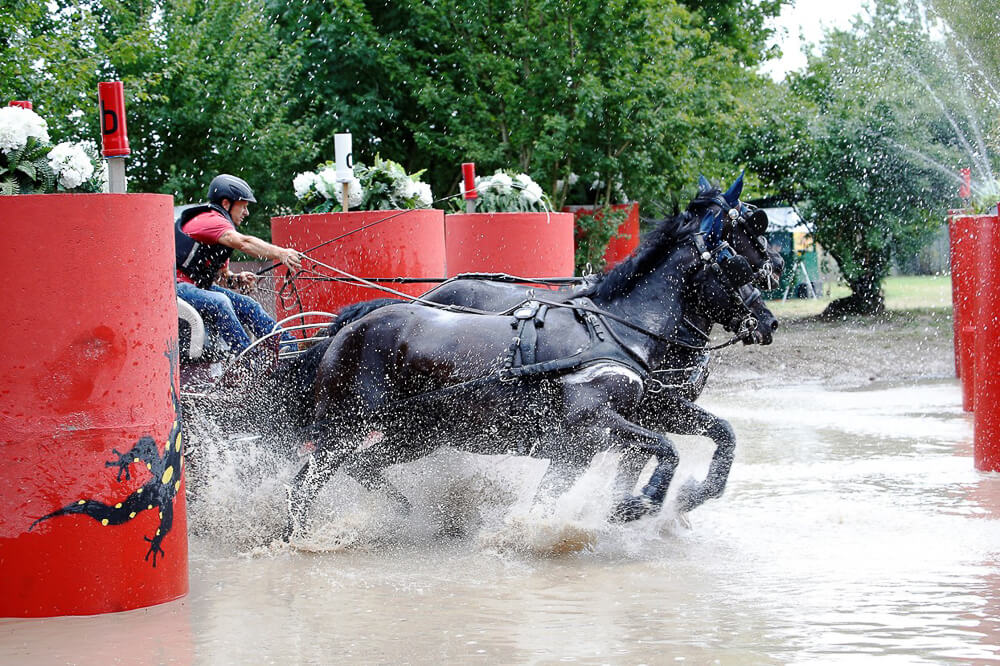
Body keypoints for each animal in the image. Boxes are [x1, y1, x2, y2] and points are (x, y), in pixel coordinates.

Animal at [279, 185, 771, 537]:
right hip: (344, 427)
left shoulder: (618, 424)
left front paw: (687, 495)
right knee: (305, 484)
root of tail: (346, 330)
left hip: (415, 434)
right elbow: (664, 448)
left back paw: (404, 513)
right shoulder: (592, 420)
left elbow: (720, 432)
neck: (617, 328)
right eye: (740, 261)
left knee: (358, 467)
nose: (767, 320)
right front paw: (637, 504)